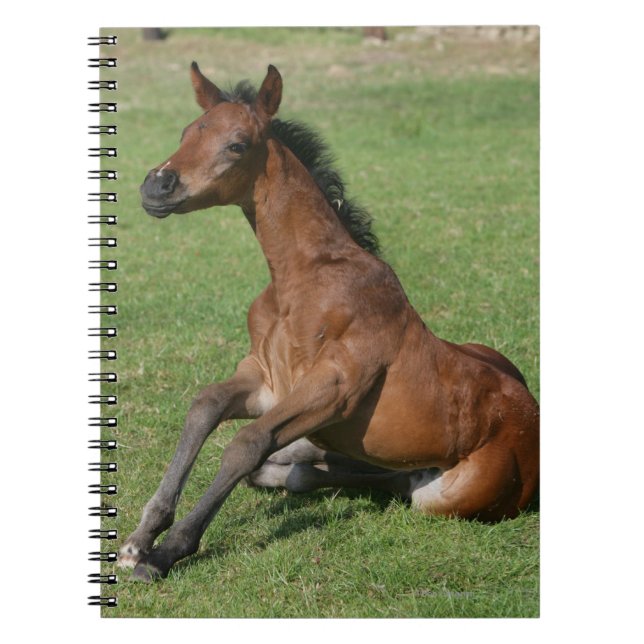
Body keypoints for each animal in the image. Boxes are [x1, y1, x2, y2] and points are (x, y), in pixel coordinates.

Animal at [119, 63, 539, 582]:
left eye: (237, 144)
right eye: (186, 132)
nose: (156, 186)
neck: (301, 279)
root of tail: (532, 420)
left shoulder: (335, 387)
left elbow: (246, 442)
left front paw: (166, 552)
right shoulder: (265, 381)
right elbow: (204, 406)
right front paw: (140, 538)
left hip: (442, 497)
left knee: (394, 483)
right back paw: (298, 464)